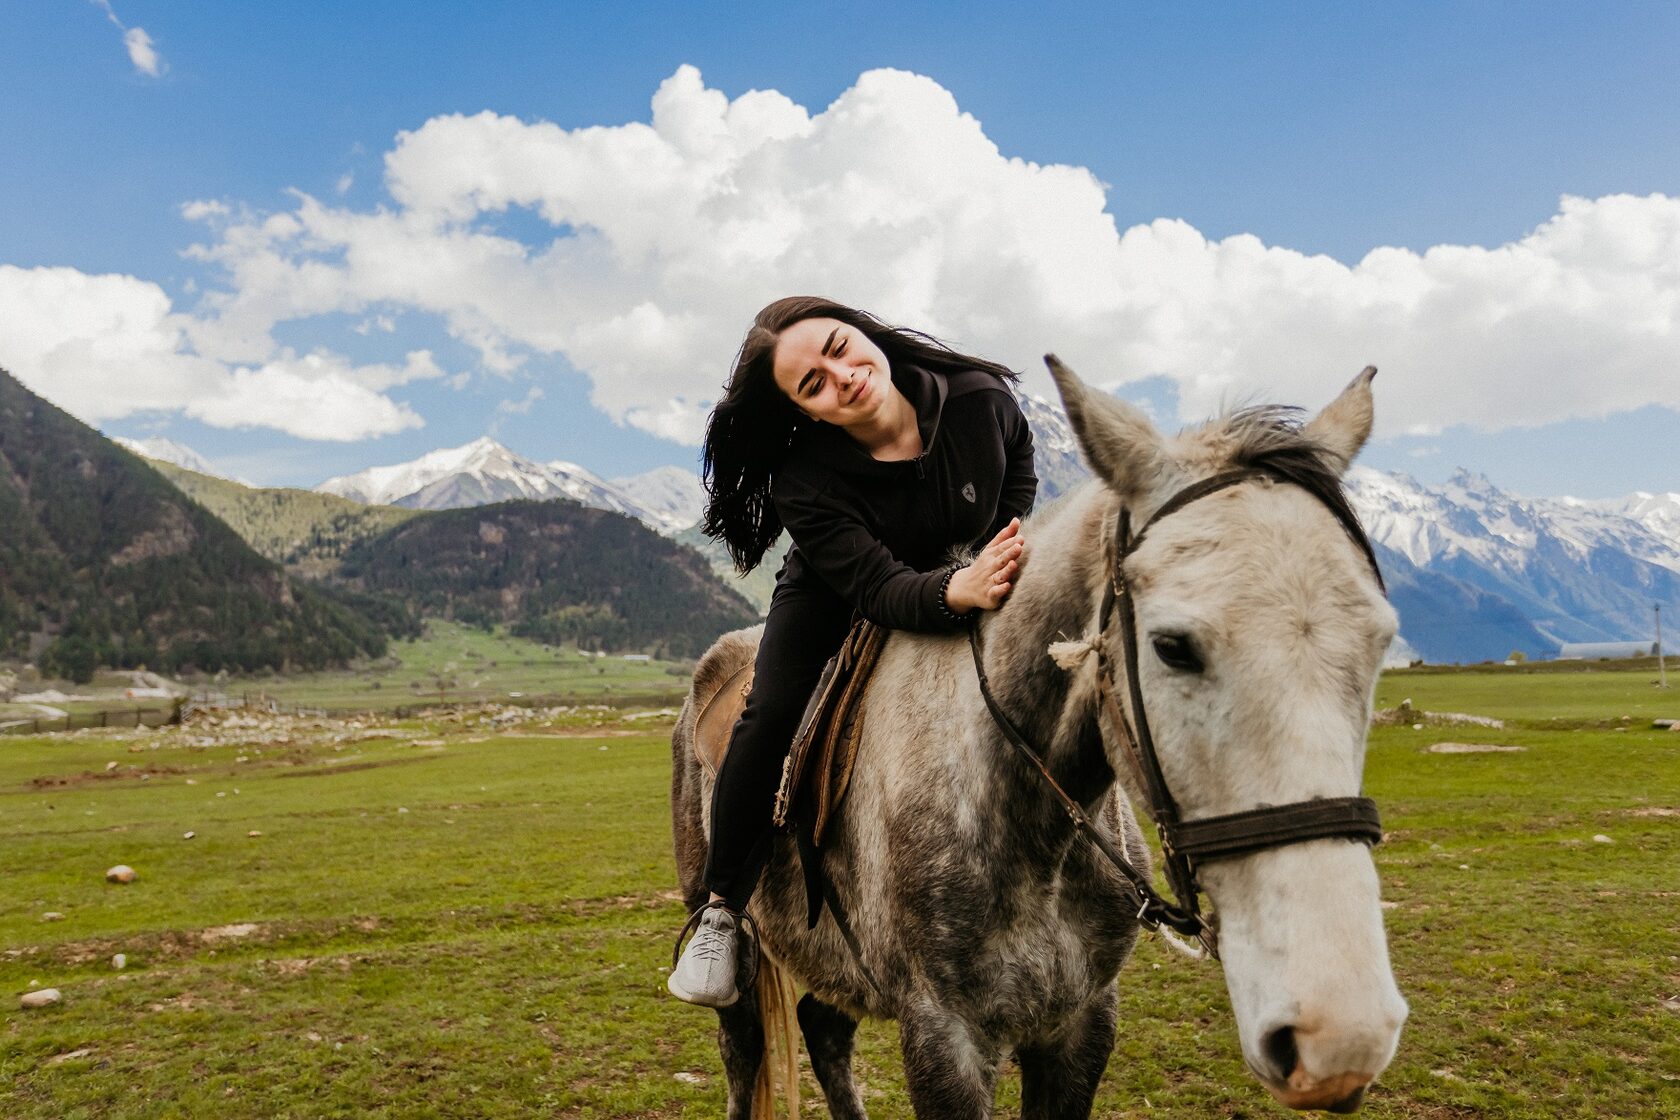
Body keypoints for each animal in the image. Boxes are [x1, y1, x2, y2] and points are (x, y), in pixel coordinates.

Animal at [668, 361, 1404, 1120]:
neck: (1030, 823)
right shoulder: (945, 1038)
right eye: (1172, 646)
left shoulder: (1080, 1026)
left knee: (824, 1029)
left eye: (1382, 639)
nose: (1338, 1031)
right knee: (743, 1053)